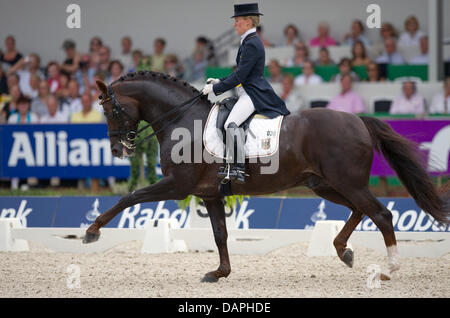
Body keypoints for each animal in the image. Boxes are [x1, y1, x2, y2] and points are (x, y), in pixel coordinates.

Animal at [82, 71, 448, 282]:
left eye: (111, 109)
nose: (117, 149)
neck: (182, 119)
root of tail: (358, 120)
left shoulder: (177, 186)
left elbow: (129, 197)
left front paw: (92, 232)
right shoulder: (210, 194)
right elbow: (220, 234)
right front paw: (220, 273)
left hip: (347, 182)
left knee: (381, 213)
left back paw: (388, 269)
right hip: (326, 184)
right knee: (360, 211)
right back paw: (343, 250)